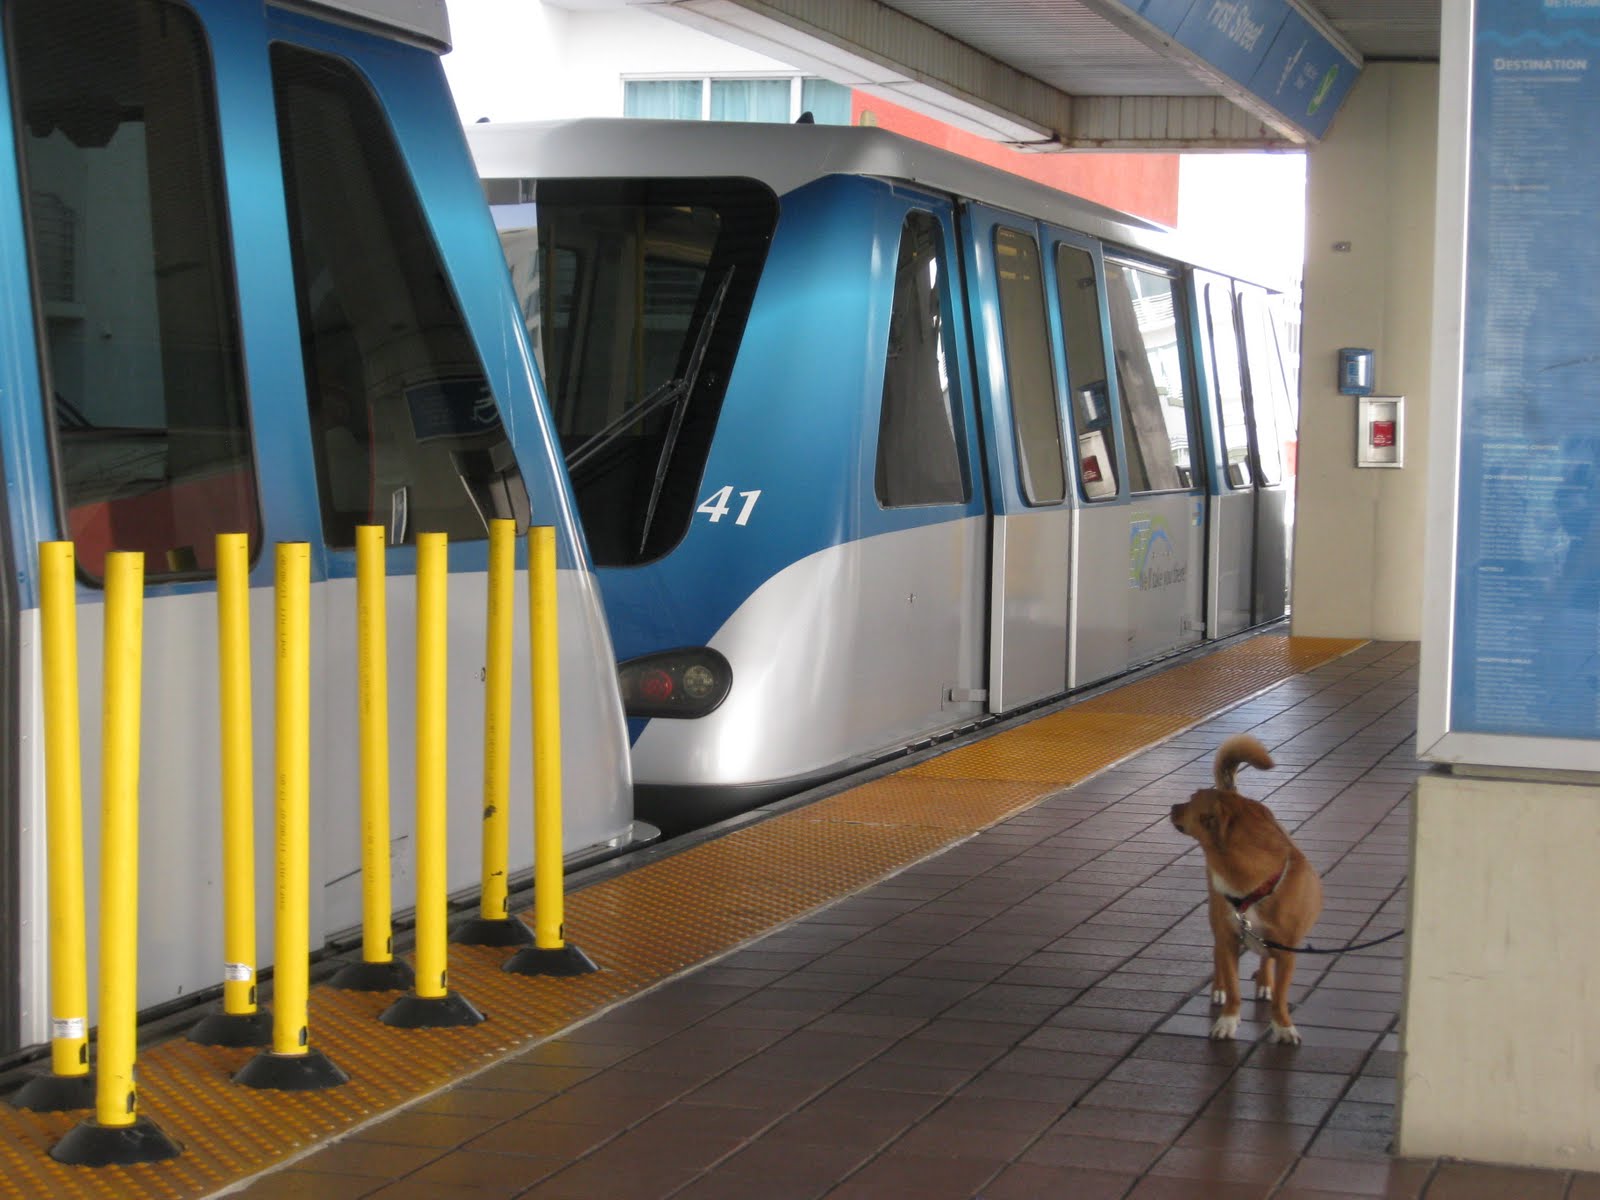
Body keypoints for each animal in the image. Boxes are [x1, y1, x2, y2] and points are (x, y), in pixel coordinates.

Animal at [1164, 732, 1324, 1043]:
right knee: (1217, 957)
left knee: (1265, 961)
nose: (1172, 807)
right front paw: (1228, 1020)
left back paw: (1264, 982)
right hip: (1216, 920)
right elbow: (1234, 988)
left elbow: (1281, 997)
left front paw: (1283, 1026)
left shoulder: (1287, 952)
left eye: (1191, 801)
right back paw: (1218, 988)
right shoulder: (1228, 938)